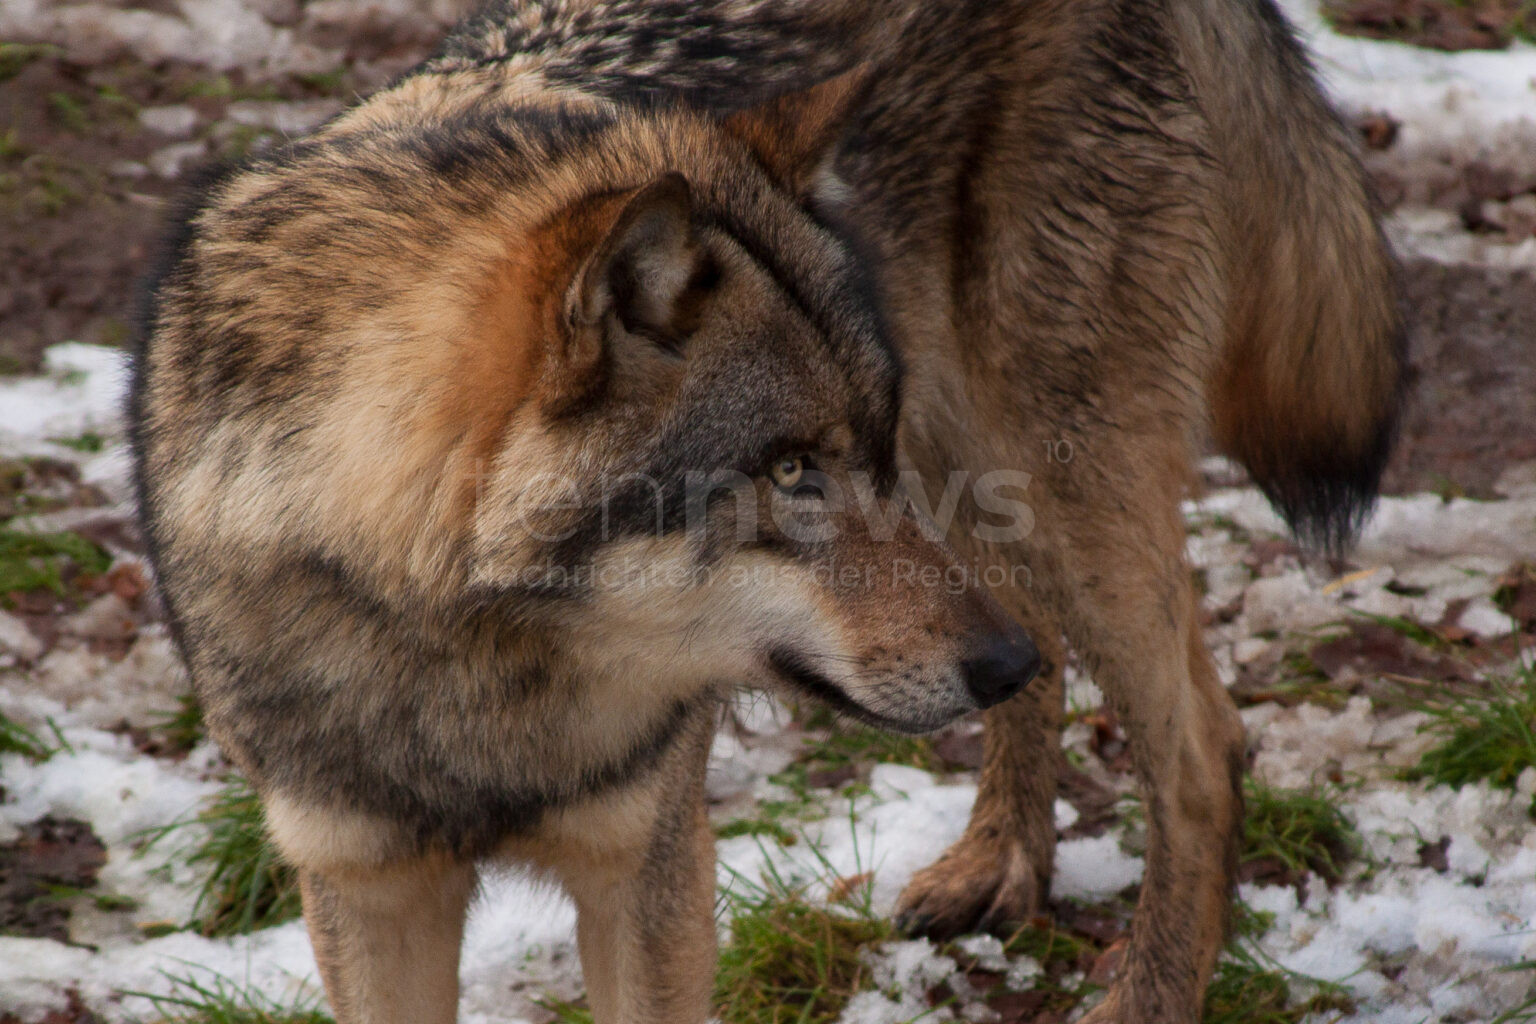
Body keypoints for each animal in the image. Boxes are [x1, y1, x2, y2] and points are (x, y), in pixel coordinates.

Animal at [132, 0, 1406, 1019]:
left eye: (845, 456)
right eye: (793, 471)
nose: (993, 662)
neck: (477, 660)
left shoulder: (650, 862)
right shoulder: (366, 887)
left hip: (1044, 475)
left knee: (1204, 748)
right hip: (984, 481)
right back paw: (998, 858)